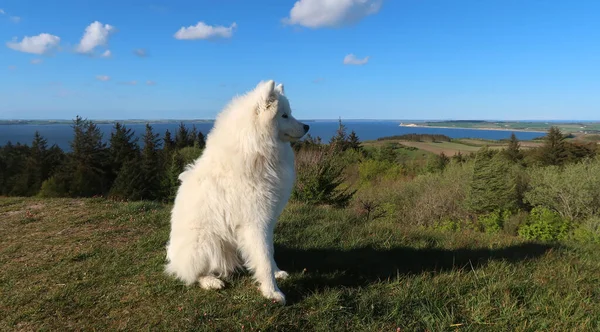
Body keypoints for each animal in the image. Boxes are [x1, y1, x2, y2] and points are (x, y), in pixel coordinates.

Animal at [164, 80, 310, 304]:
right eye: (284, 115)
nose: (307, 126)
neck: (257, 152)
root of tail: (173, 257)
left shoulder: (267, 221)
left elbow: (269, 252)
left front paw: (277, 272)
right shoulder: (255, 222)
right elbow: (264, 258)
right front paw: (272, 292)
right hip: (207, 243)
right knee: (192, 274)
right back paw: (211, 281)